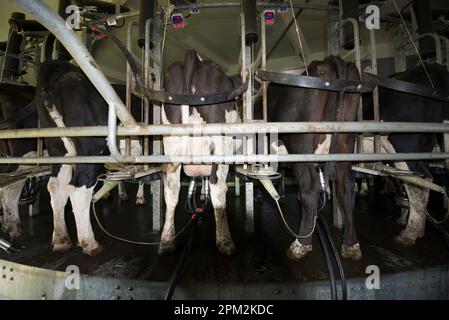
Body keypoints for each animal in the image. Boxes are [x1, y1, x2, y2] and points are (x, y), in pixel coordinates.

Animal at [37, 60, 143, 255]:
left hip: (58, 147)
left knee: (55, 186)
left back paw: (61, 239)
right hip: (91, 147)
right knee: (80, 187)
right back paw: (89, 243)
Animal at [159, 49, 240, 255]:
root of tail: (194, 57)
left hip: (171, 144)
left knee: (171, 190)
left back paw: (166, 240)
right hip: (221, 144)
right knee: (219, 190)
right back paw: (225, 241)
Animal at [266, 56, 360, 262]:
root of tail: (330, 60)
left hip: (301, 143)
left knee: (310, 188)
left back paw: (300, 244)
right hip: (345, 144)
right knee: (346, 188)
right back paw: (351, 244)